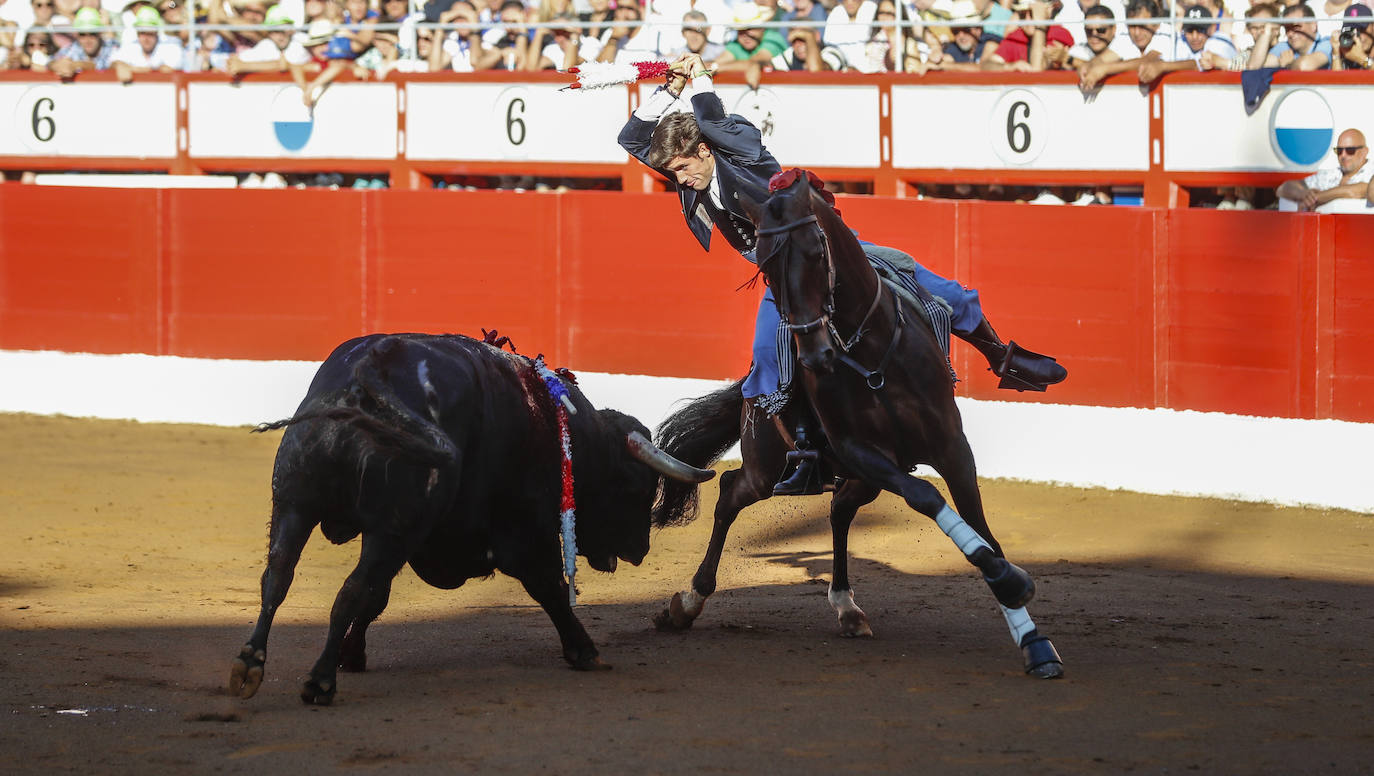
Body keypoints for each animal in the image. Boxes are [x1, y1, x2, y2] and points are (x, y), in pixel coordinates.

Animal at [226, 329, 714, 703]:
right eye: (636, 486)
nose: (640, 550)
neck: (563, 433)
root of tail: (365, 377)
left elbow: (377, 597)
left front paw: (353, 654)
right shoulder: (521, 534)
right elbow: (550, 588)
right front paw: (584, 650)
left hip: (294, 503)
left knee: (278, 576)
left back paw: (250, 664)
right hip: (390, 527)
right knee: (349, 589)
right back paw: (319, 681)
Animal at [651, 170, 1060, 678]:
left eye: (815, 252)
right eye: (765, 266)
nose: (815, 355)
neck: (874, 352)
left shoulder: (951, 446)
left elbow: (979, 521)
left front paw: (1030, 633)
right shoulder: (861, 450)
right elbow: (928, 497)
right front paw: (1012, 586)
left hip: (859, 478)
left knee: (838, 509)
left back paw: (847, 607)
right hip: (770, 465)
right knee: (730, 493)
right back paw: (688, 602)